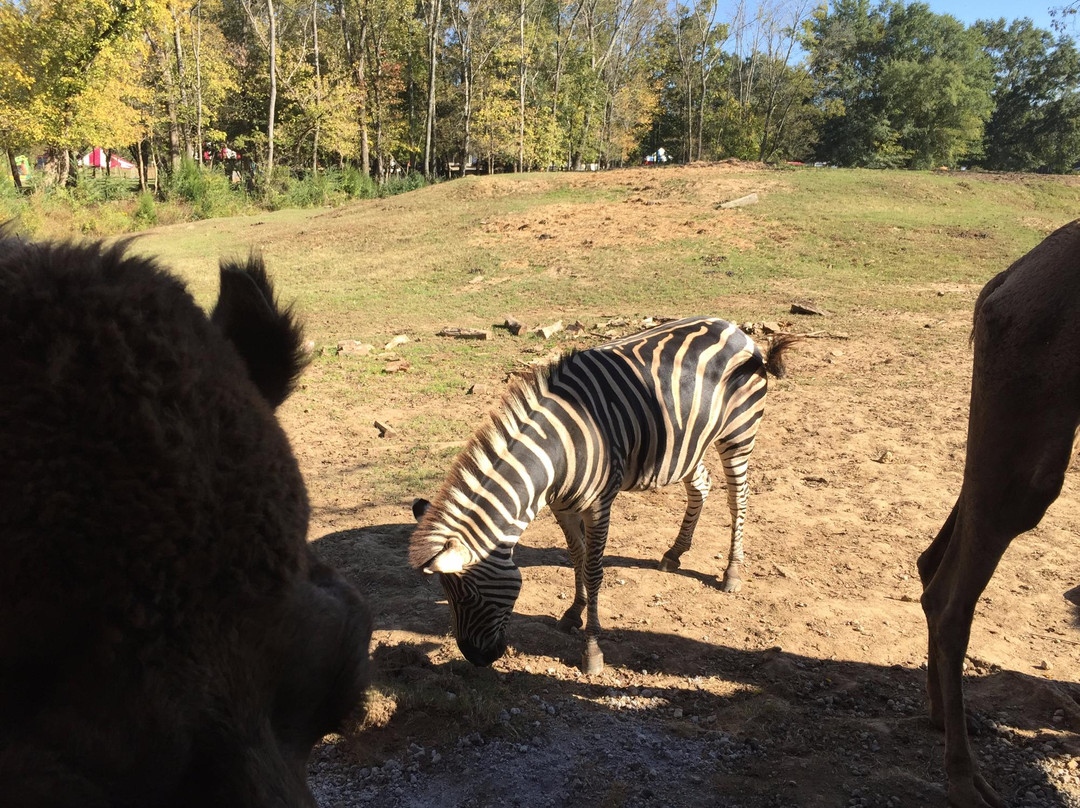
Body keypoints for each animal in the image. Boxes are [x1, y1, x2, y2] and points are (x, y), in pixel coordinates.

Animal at [408, 315, 799, 674]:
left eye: (469, 596)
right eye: (447, 595)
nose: (476, 659)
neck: (557, 452)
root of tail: (733, 328)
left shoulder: (598, 507)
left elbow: (594, 570)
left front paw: (592, 651)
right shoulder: (562, 507)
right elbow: (576, 558)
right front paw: (573, 612)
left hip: (738, 434)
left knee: (738, 500)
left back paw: (732, 571)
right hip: (688, 443)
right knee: (701, 485)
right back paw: (674, 552)